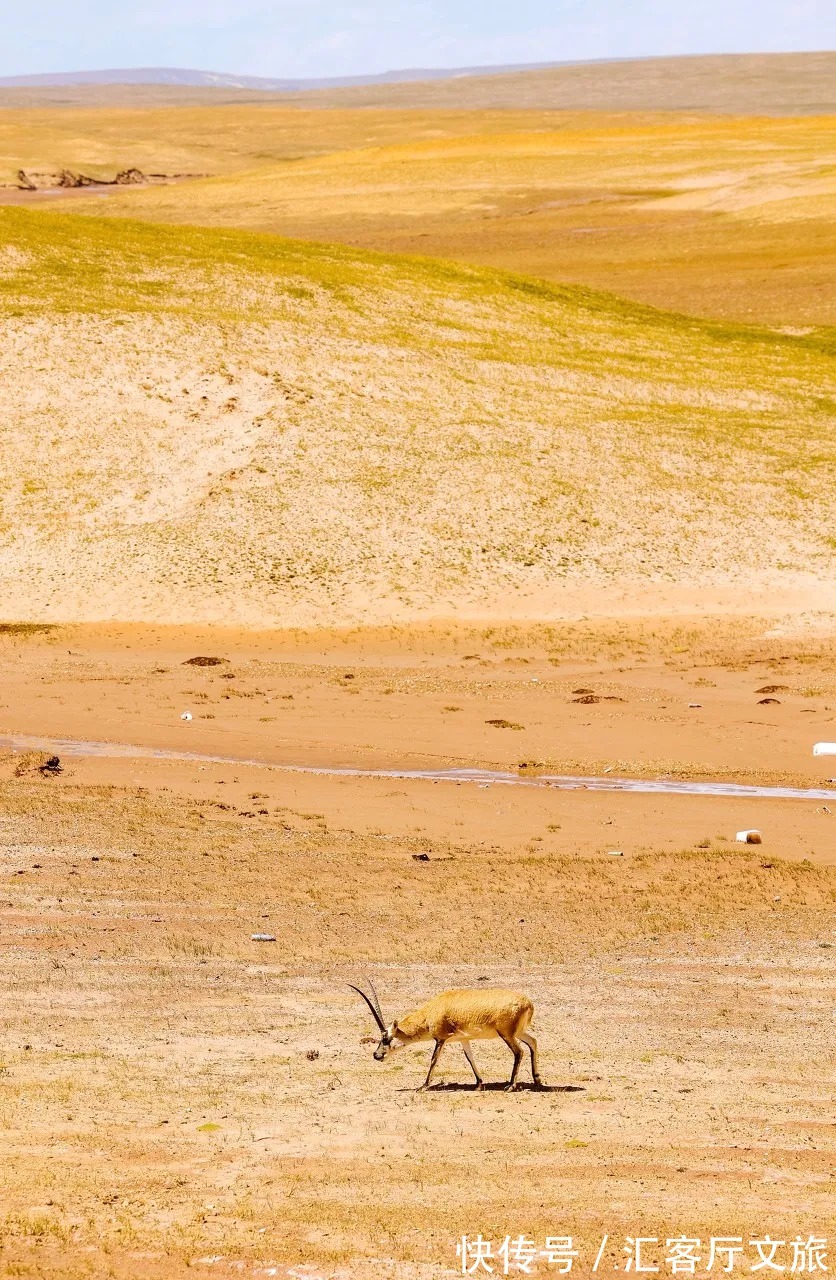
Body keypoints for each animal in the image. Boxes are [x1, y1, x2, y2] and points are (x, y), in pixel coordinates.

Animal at [345, 977, 540, 1090]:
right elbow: (470, 1058)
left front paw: (423, 1086)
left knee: (519, 1052)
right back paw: (537, 1080)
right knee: (533, 1042)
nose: (376, 1055)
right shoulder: (463, 1039)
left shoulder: (440, 1039)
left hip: (506, 1034)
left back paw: (511, 1086)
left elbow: (433, 1060)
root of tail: (528, 1003)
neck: (432, 1009)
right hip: (518, 1033)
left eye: (386, 1037)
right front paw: (478, 1084)